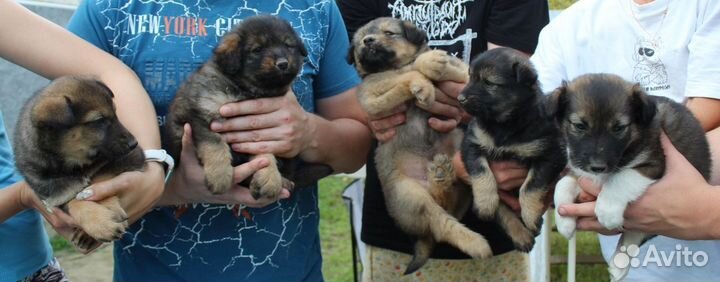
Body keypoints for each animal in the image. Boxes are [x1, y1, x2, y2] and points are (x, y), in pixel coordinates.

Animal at [13, 76, 145, 251]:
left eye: (116, 113)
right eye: (99, 120)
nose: (134, 143)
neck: (71, 165)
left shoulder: (131, 158)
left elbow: (96, 179)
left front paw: (108, 208)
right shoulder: (56, 195)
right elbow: (74, 201)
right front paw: (100, 223)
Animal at [167, 14, 332, 198]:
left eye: (288, 45)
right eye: (257, 50)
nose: (283, 63)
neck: (245, 88)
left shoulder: (262, 129)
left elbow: (264, 153)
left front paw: (270, 179)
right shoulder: (200, 114)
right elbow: (215, 144)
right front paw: (219, 177)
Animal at [348, 17, 490, 274]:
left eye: (389, 33)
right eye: (359, 42)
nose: (368, 41)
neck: (391, 65)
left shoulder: (461, 79)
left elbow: (445, 68)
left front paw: (432, 62)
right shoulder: (371, 96)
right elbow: (403, 76)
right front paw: (423, 81)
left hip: (458, 161)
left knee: (448, 204)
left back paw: (440, 176)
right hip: (412, 196)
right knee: (442, 223)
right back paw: (476, 243)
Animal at [458, 46, 564, 251]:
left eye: (489, 82)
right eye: (471, 77)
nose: (460, 98)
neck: (503, 124)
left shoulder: (550, 154)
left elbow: (530, 186)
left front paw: (530, 214)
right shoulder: (472, 144)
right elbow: (482, 173)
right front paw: (485, 203)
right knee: (503, 211)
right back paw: (521, 235)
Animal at [548, 73, 712, 282]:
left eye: (619, 128)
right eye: (579, 125)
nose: (598, 166)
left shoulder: (654, 163)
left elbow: (622, 178)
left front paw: (607, 211)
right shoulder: (582, 170)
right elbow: (563, 183)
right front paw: (564, 222)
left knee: (638, 233)